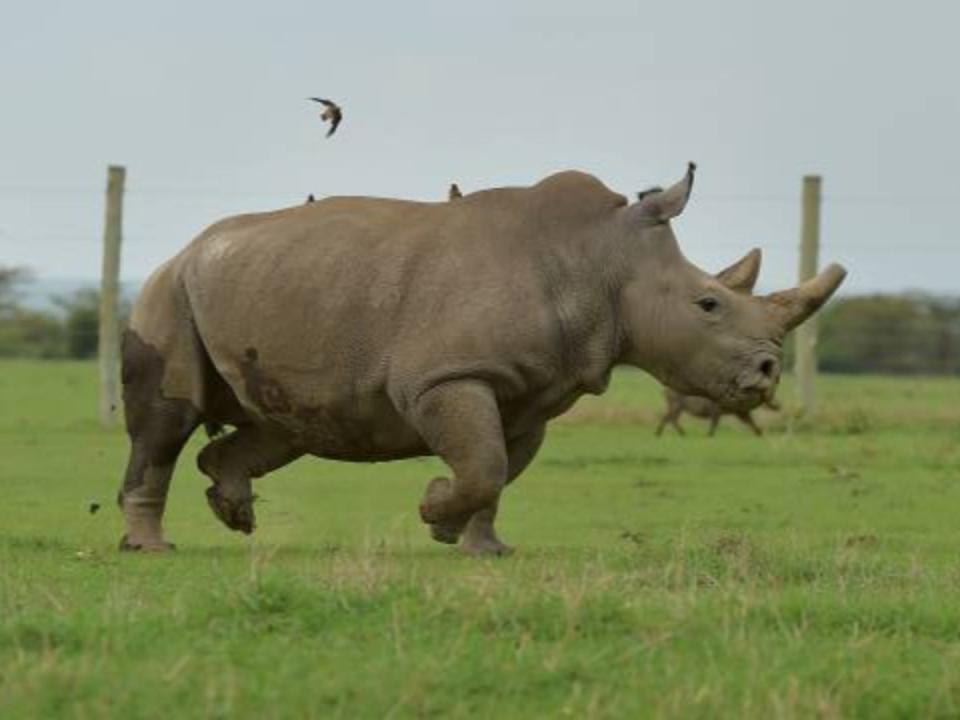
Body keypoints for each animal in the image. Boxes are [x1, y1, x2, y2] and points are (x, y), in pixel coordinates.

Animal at [120, 163, 848, 556]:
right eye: (708, 304)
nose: (766, 375)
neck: (602, 260)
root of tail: (186, 248)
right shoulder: (448, 376)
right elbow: (484, 464)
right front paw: (433, 509)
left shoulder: (533, 393)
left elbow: (498, 467)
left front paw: (476, 546)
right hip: (168, 291)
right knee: (166, 421)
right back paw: (152, 548)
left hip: (268, 291)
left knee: (283, 427)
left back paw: (232, 510)